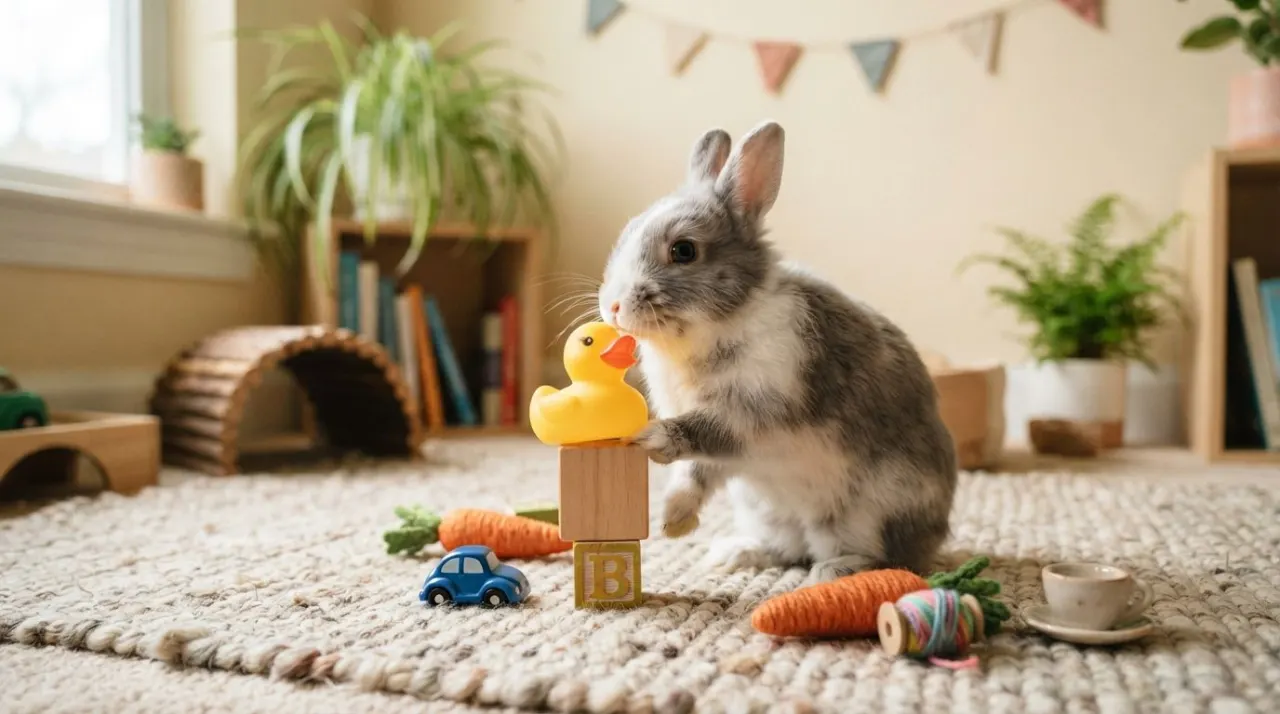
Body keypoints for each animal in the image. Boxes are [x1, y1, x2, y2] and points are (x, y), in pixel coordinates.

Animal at [596, 120, 958, 583]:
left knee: (883, 557)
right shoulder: (726, 456)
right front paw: (672, 521)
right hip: (764, 509)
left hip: (866, 513)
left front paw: (651, 439)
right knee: (787, 549)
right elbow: (695, 472)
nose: (613, 307)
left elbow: (702, 433)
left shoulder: (753, 412)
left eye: (684, 250)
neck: (722, 322)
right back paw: (734, 554)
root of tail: (933, 537)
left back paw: (834, 572)